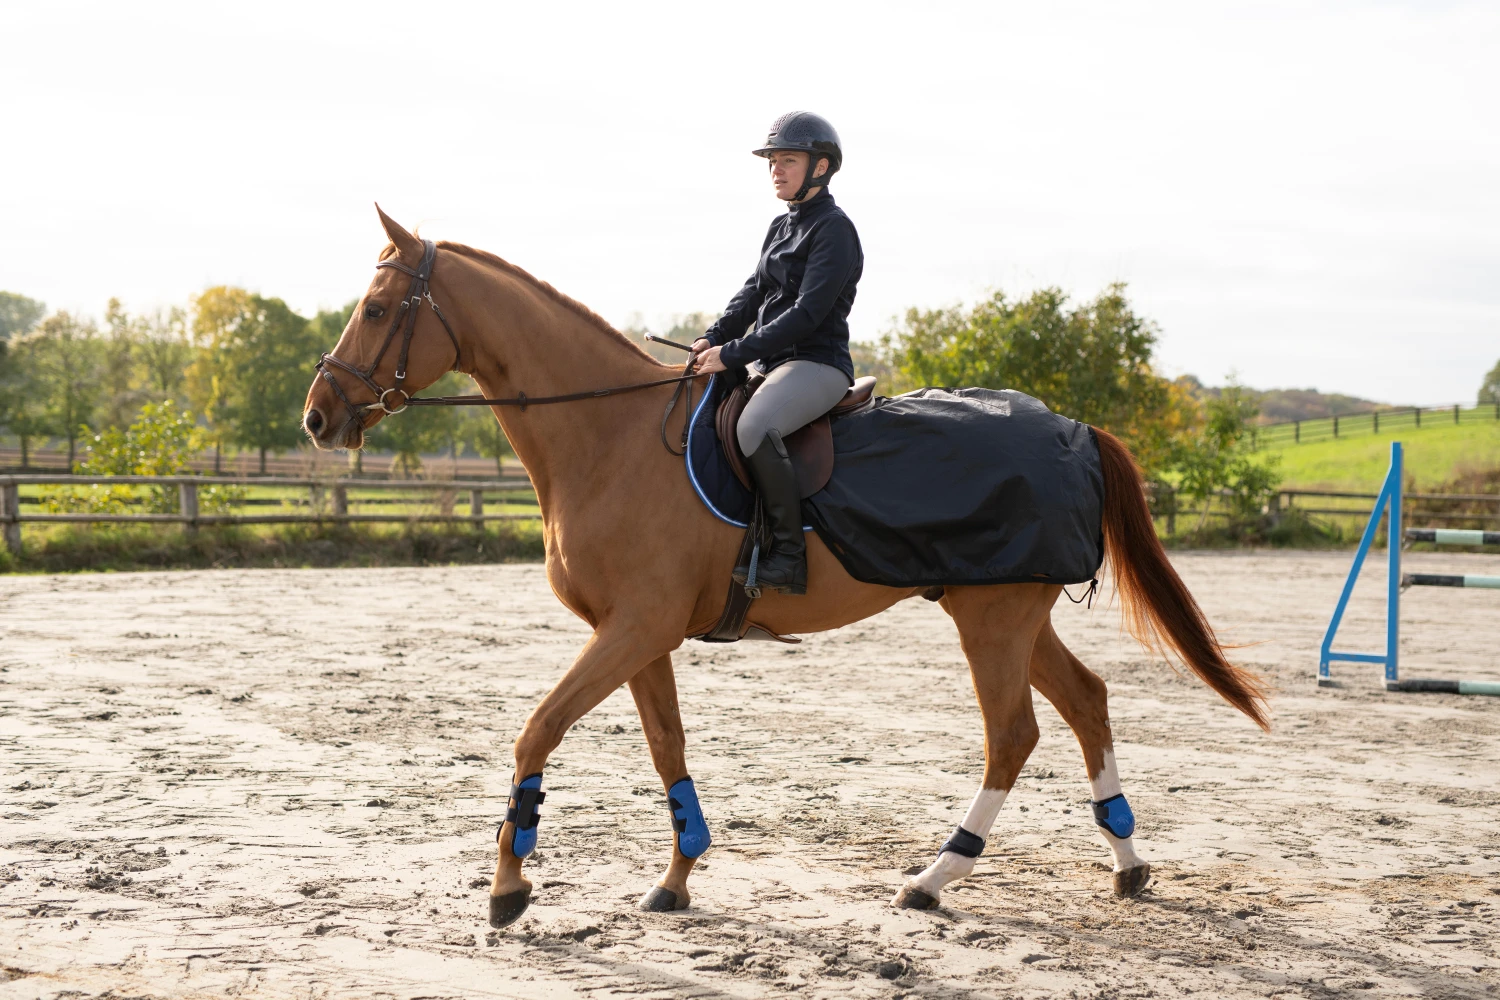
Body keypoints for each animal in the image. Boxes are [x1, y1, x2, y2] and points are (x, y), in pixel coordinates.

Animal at [302, 206, 1269, 930]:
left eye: (379, 309)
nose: (317, 417)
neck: (609, 438)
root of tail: (1072, 429)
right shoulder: (639, 634)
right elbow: (666, 745)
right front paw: (677, 876)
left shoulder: (633, 628)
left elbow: (536, 730)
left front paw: (509, 887)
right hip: (1008, 610)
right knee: (1086, 702)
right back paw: (1128, 865)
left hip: (991, 619)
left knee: (1014, 734)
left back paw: (933, 878)